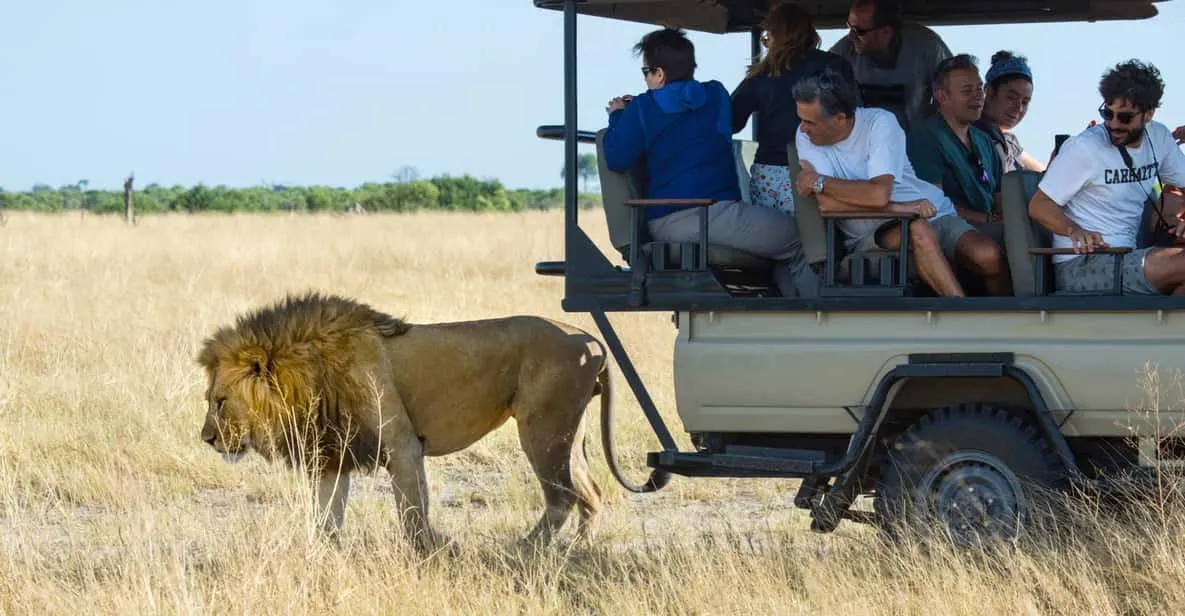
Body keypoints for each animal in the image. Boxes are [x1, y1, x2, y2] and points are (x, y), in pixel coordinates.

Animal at [196, 291, 630, 554]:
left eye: (220, 401)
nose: (206, 439)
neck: (309, 378)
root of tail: (589, 338)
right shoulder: (333, 456)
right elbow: (327, 518)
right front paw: (323, 556)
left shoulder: (402, 445)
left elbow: (411, 512)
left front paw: (434, 551)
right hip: (566, 433)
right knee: (591, 493)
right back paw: (580, 549)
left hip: (542, 429)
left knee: (562, 496)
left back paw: (527, 549)